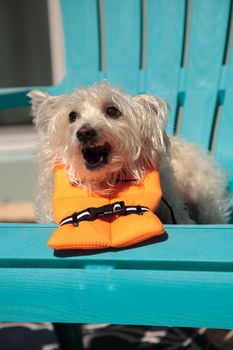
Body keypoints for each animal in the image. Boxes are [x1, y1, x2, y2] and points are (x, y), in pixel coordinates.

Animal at [28, 82, 232, 224]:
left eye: (112, 111)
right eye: (72, 116)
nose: (84, 132)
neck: (105, 181)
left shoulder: (174, 206)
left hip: (208, 199)